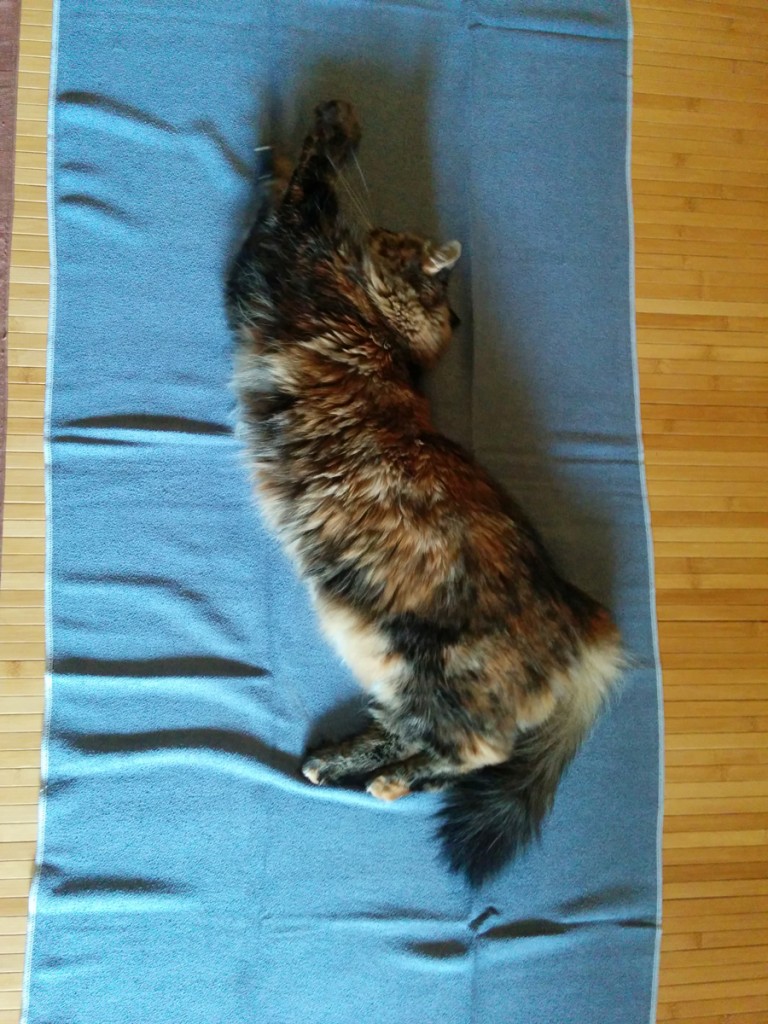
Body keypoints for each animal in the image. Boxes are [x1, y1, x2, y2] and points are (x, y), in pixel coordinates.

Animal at [225, 99, 622, 884]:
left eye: (395, 239)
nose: (377, 231)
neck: (395, 342)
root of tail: (585, 618)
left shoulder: (280, 261)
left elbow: (308, 184)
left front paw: (332, 123)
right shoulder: (276, 265)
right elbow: (291, 191)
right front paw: (277, 155)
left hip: (436, 670)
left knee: (479, 751)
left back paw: (380, 781)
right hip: (395, 668)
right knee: (419, 734)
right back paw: (334, 763)